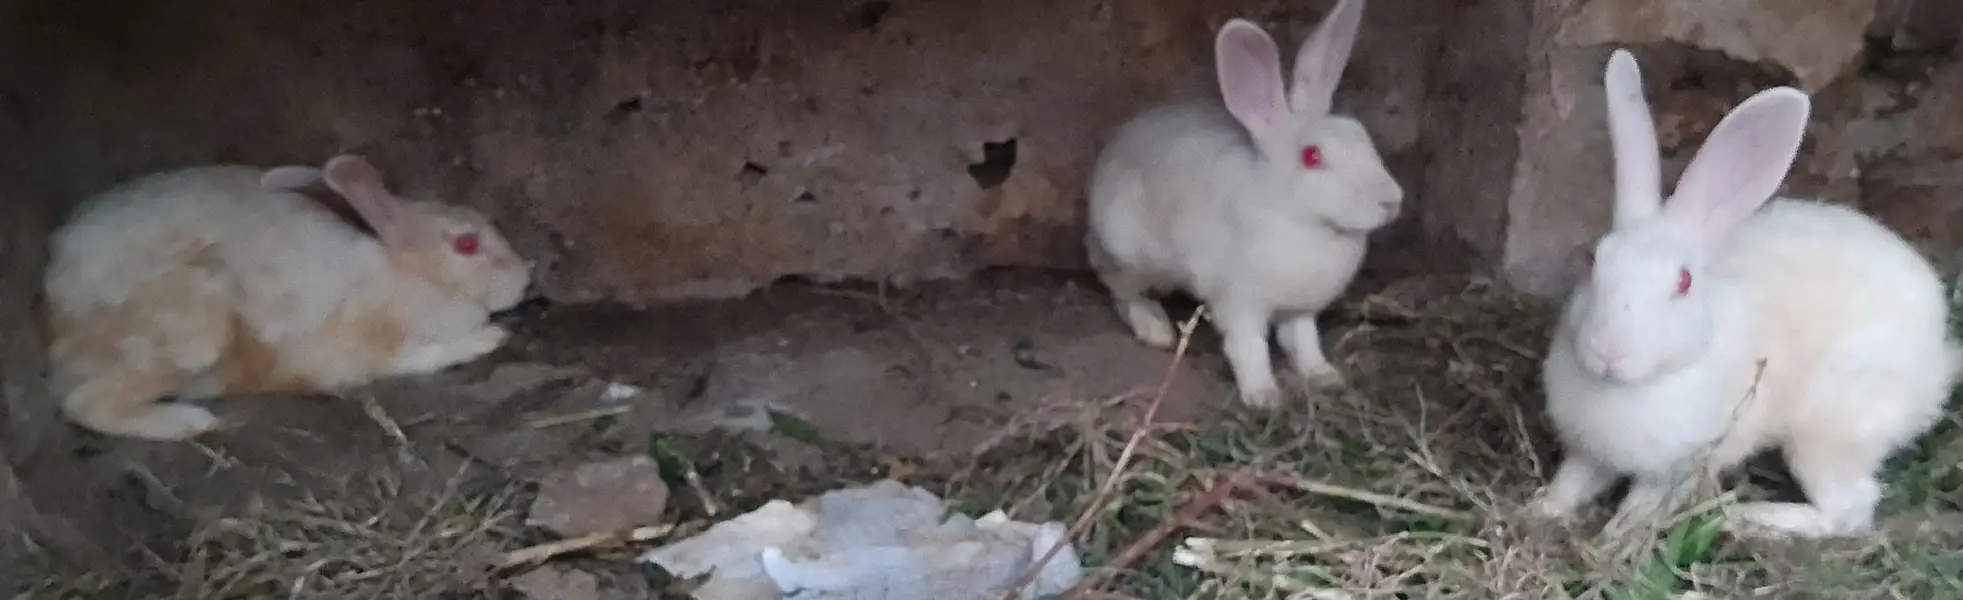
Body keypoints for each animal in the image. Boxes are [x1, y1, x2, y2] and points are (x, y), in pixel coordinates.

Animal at [43, 154, 533, 441]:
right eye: (467, 244)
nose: (525, 281)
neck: (403, 274)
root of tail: (50, 313)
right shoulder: (360, 352)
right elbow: (423, 357)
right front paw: (490, 338)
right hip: (184, 336)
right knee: (83, 404)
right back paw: (189, 422)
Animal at [1084, 0, 1403, 409]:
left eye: (1360, 133)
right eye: (1312, 156)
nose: (1392, 201)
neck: (1301, 218)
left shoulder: (1300, 310)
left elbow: (1304, 341)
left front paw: (1325, 377)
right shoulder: (1239, 304)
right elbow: (1249, 347)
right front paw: (1263, 396)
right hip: (1129, 250)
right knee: (1120, 288)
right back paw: (1155, 327)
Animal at [1528, 49, 1961, 539]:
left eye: (1683, 282)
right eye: (1593, 260)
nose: (1608, 352)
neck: (1630, 389)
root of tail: (1939, 352)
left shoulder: (1687, 463)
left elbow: (1644, 501)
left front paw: (1615, 537)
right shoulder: (1587, 453)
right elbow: (1572, 481)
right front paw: (1542, 510)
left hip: (1828, 432)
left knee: (1851, 507)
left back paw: (1753, 517)